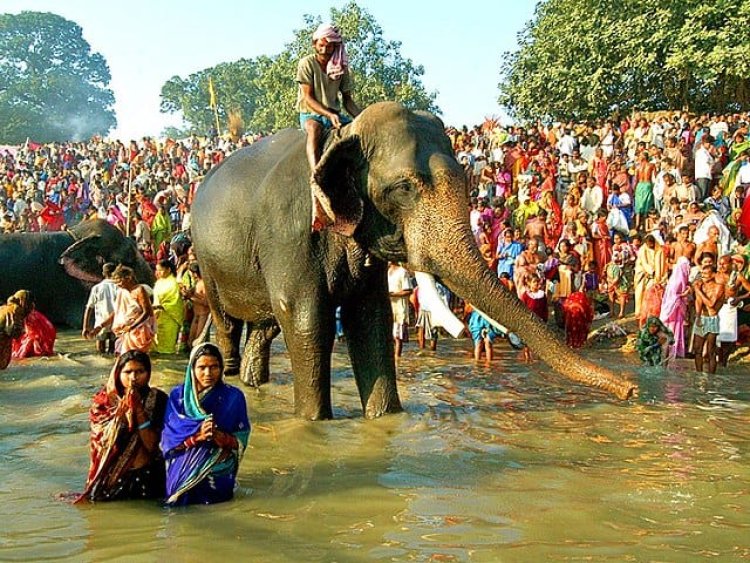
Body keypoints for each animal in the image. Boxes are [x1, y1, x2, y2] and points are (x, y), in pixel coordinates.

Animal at [191, 101, 636, 420]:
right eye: (404, 188)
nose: (631, 390)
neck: (343, 133)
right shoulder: (290, 234)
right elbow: (306, 321)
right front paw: (313, 423)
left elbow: (371, 321)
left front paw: (386, 418)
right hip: (206, 258)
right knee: (229, 323)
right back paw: (229, 378)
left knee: (263, 328)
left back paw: (253, 383)